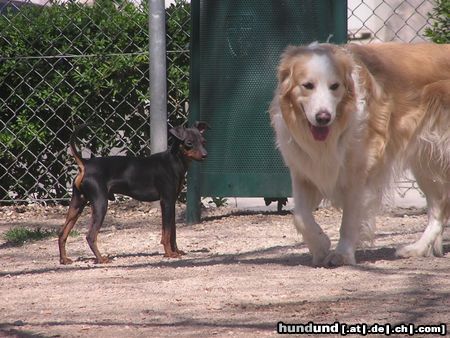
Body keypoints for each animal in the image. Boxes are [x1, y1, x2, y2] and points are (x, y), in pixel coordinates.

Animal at [57, 121, 209, 264]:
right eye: (189, 143)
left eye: (203, 141)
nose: (205, 155)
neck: (174, 161)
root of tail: (85, 164)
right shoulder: (166, 202)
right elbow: (166, 233)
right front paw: (169, 254)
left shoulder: (171, 203)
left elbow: (173, 232)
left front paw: (176, 251)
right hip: (100, 204)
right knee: (90, 236)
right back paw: (101, 259)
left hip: (77, 204)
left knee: (62, 233)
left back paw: (64, 260)